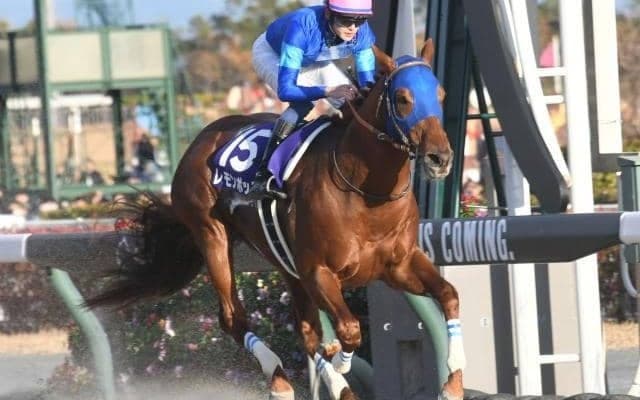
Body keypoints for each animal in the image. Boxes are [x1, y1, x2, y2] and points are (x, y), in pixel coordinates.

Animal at [87, 39, 465, 400]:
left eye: (442, 94)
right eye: (403, 98)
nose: (440, 158)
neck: (366, 194)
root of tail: (200, 140)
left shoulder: (398, 265)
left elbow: (449, 295)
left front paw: (453, 384)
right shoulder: (318, 272)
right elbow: (349, 330)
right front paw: (339, 365)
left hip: (285, 265)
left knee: (307, 332)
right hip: (212, 235)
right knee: (233, 317)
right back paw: (281, 380)